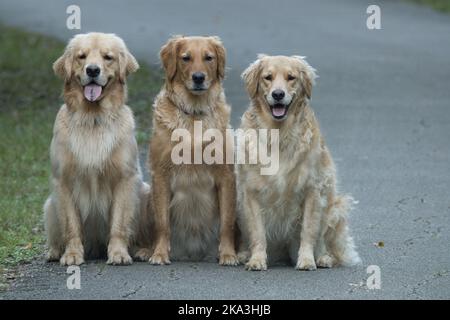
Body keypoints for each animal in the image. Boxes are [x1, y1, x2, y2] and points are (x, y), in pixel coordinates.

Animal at [146, 35, 239, 264]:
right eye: (186, 58)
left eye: (209, 58)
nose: (198, 78)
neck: (195, 114)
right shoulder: (160, 174)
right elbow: (162, 223)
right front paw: (159, 254)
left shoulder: (226, 174)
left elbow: (227, 223)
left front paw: (228, 254)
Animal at [237, 54, 360, 270]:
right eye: (268, 77)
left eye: (291, 77)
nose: (278, 94)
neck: (279, 134)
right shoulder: (250, 191)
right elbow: (258, 232)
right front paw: (257, 259)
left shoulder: (312, 189)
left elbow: (308, 231)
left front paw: (307, 260)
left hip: (333, 205)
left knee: (323, 239)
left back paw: (323, 258)